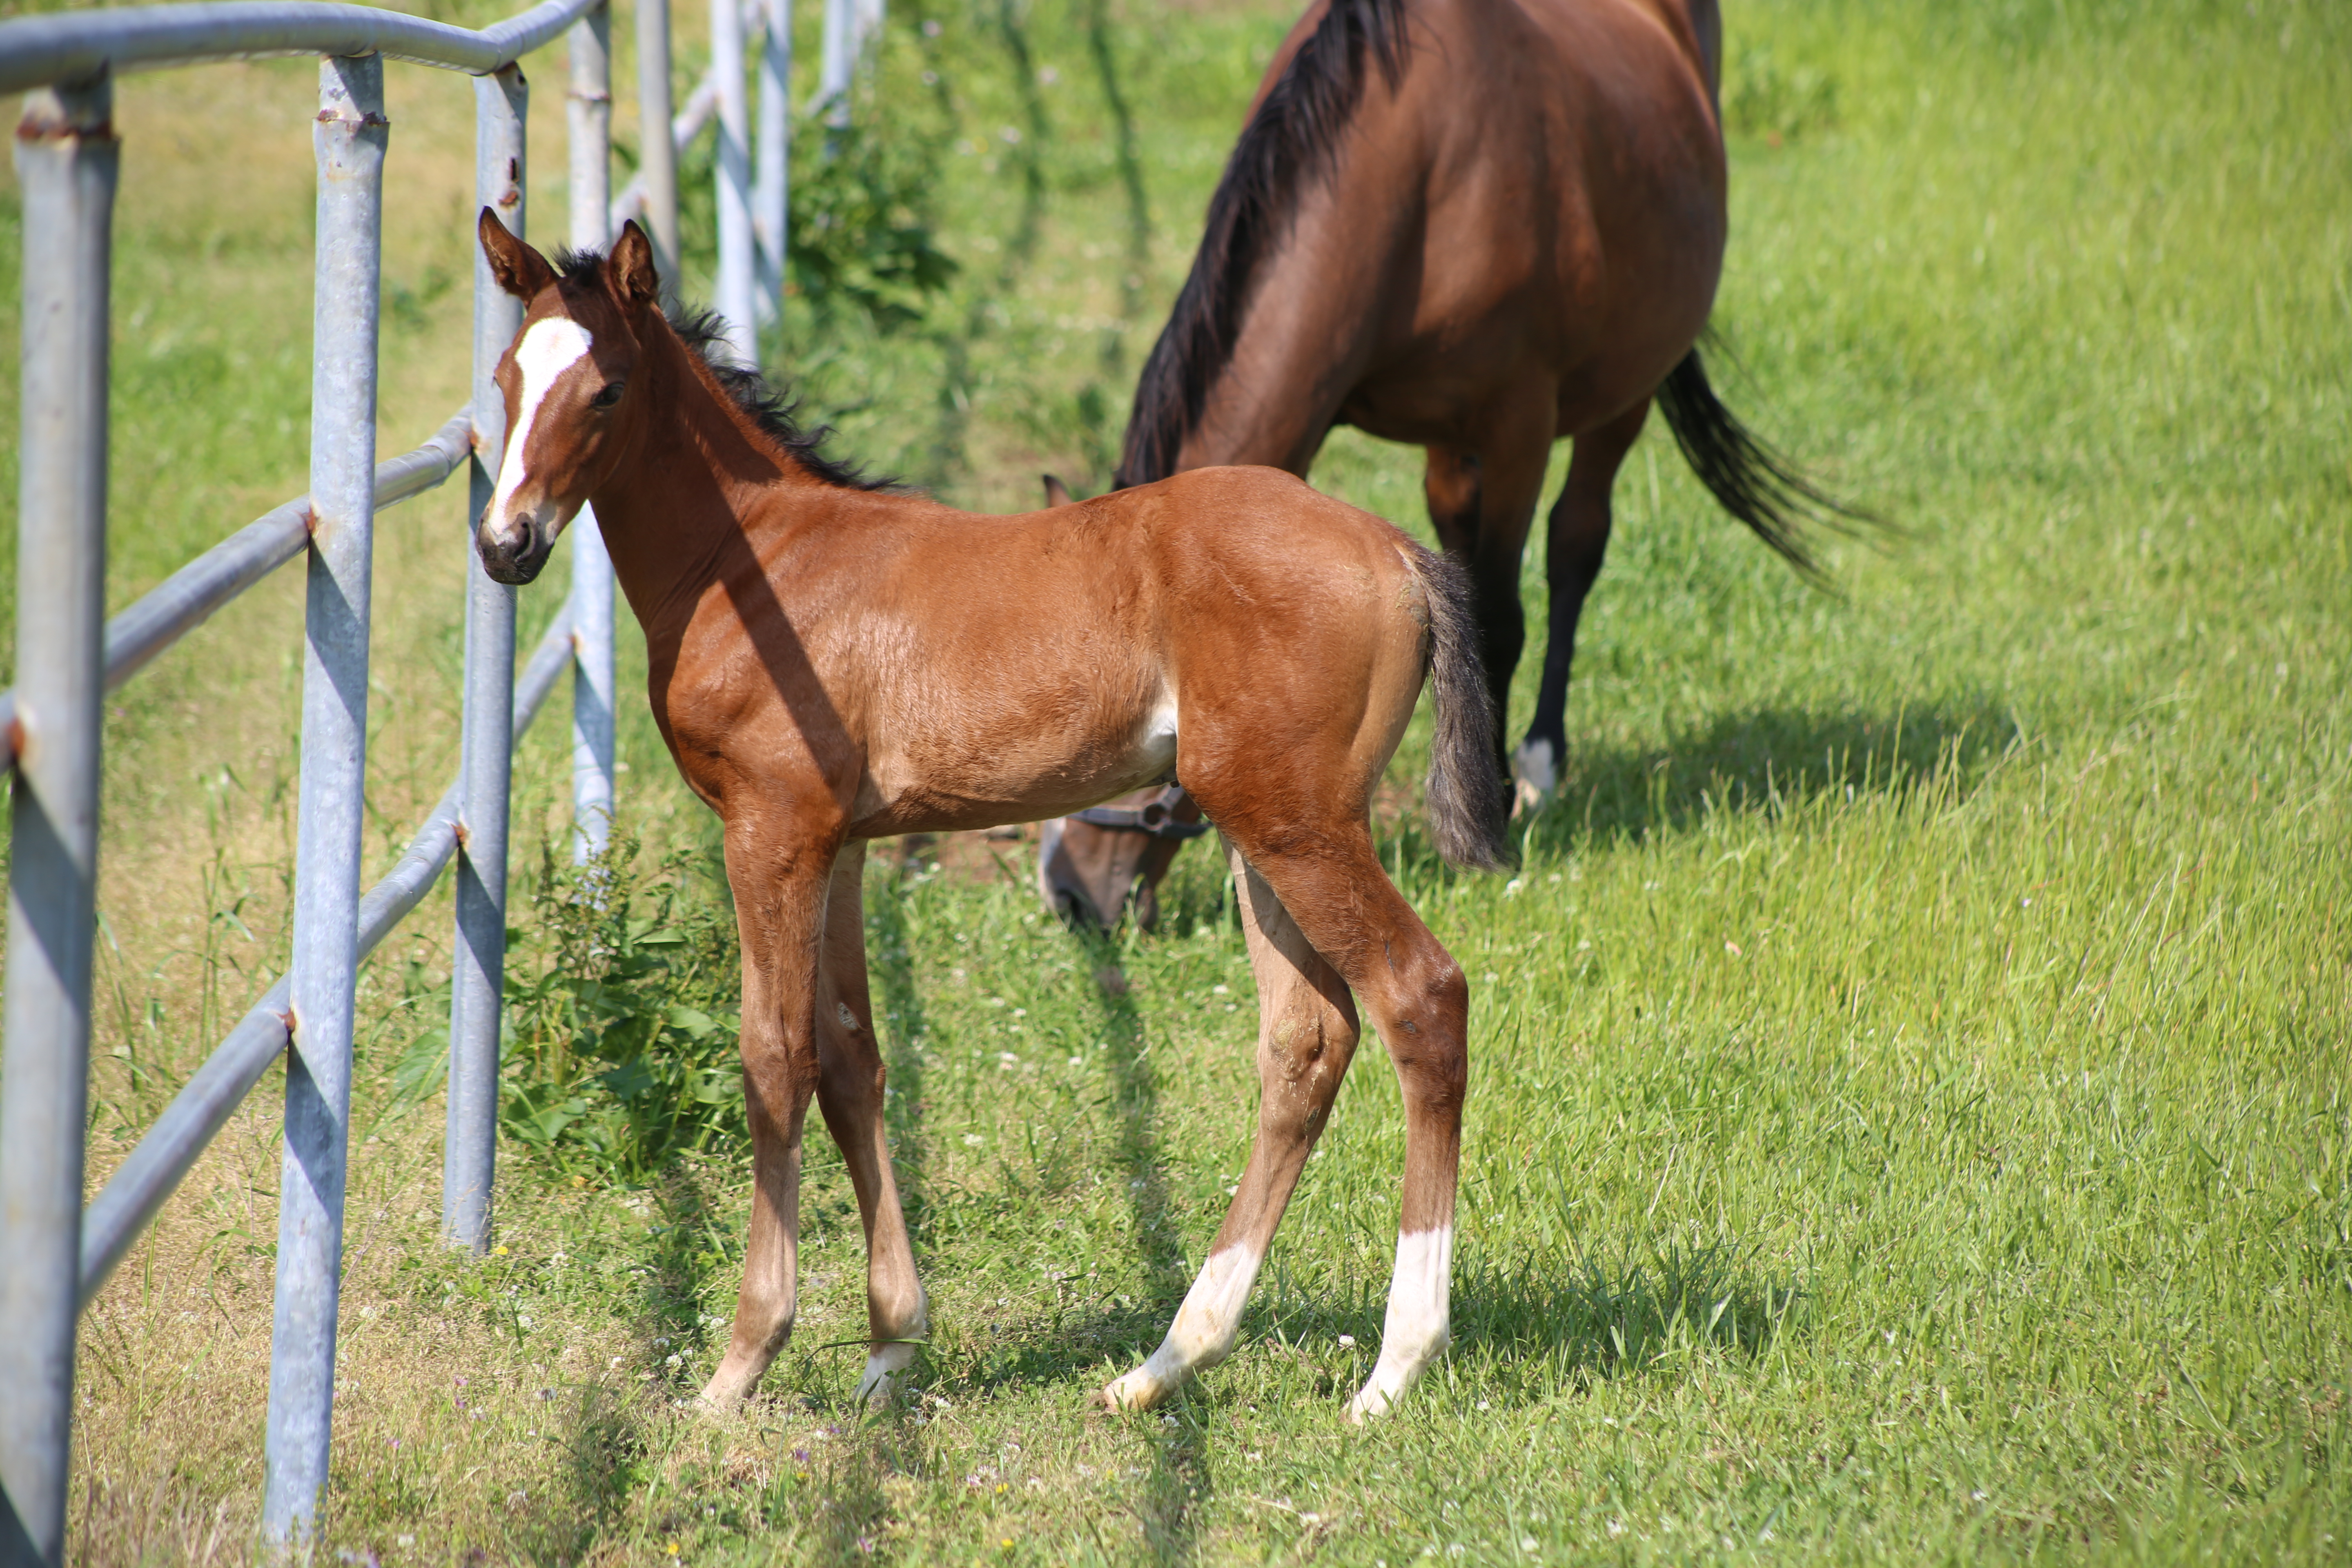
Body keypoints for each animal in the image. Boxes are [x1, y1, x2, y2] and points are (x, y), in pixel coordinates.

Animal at [468, 212, 1515, 1420]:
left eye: (606, 390)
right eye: (507, 378)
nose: (506, 543)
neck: (756, 560)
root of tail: (1396, 550)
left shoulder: (769, 832)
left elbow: (773, 1061)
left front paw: (740, 1363)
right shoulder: (840, 847)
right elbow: (852, 1060)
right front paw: (890, 1347)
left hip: (1296, 822)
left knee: (1420, 998)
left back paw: (1394, 1366)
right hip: (1263, 827)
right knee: (1305, 1040)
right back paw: (1164, 1362)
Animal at [1039, 0, 1862, 931]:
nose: (1071, 892)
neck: (1419, 170)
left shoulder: (1517, 425)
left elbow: (1505, 615)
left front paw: (1489, 822)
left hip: (1622, 392)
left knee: (1577, 546)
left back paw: (1536, 766)